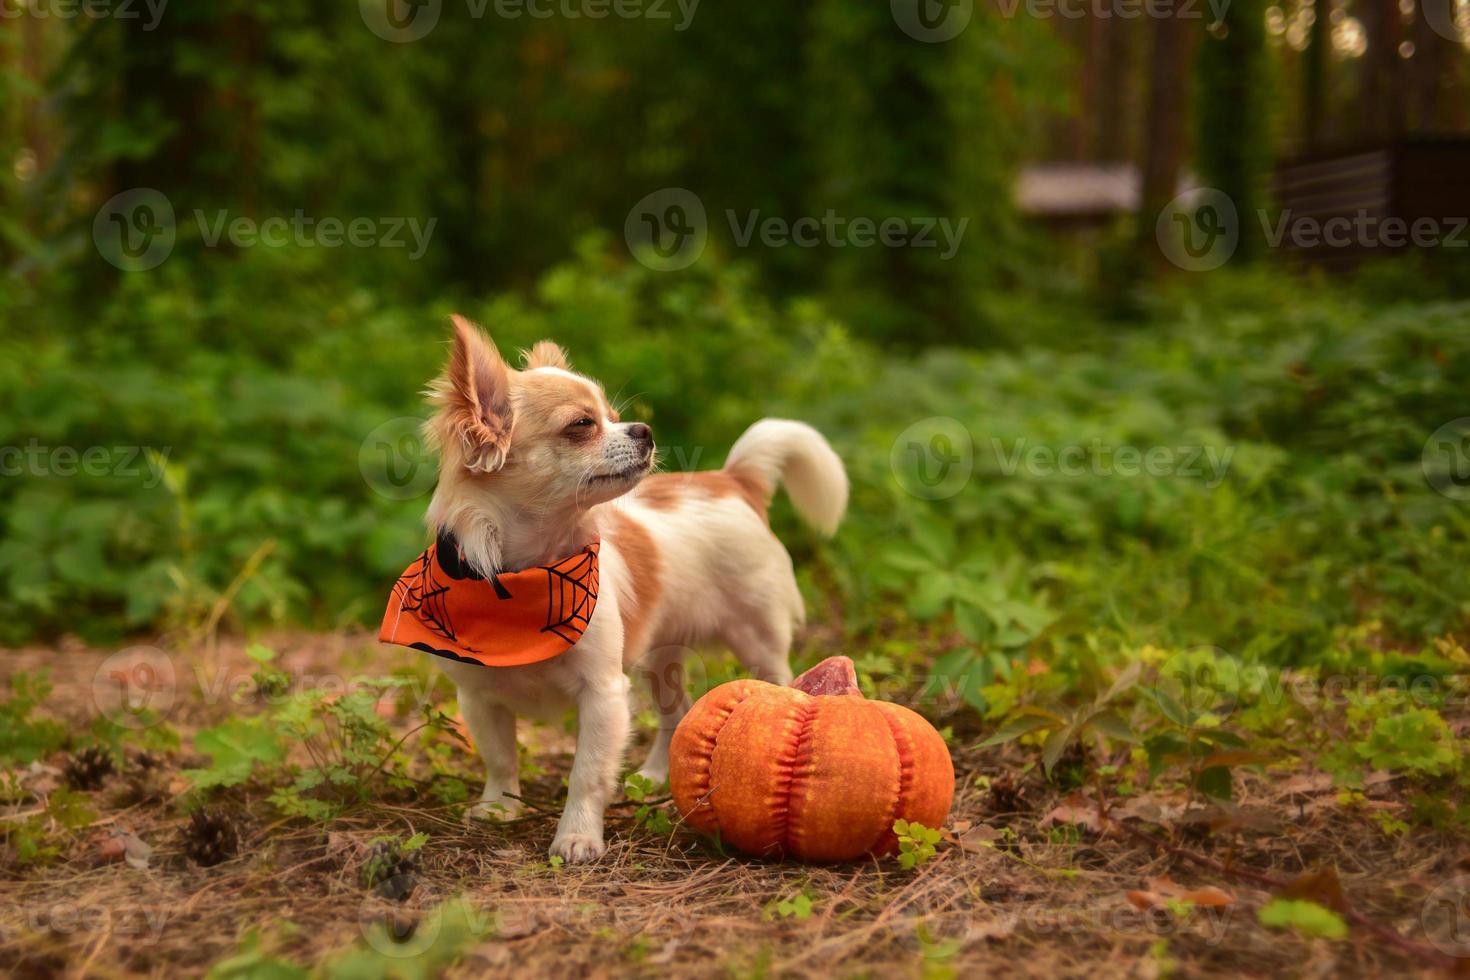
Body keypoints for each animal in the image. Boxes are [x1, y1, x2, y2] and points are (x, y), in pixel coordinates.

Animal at [414, 318, 852, 863]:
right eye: (583, 424)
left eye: (617, 418)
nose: (644, 430)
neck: (523, 576)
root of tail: (731, 480)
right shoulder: (478, 697)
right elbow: (500, 759)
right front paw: (499, 808)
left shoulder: (602, 694)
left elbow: (586, 772)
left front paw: (577, 836)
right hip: (657, 659)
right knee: (676, 715)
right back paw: (655, 777)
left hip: (757, 641)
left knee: (778, 681)